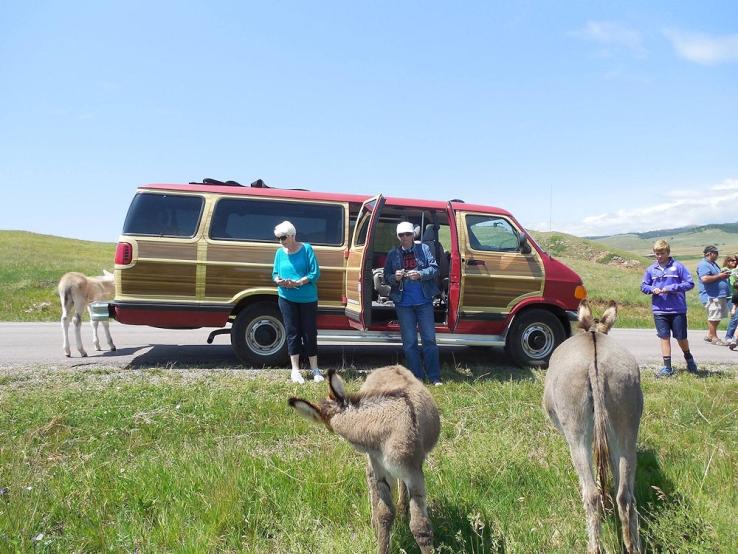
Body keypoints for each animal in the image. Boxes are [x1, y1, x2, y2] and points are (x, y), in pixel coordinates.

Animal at [288, 362, 436, 552]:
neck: (387, 428)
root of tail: (391, 365)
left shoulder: (413, 473)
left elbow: (420, 527)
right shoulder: (380, 469)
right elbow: (384, 514)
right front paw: (381, 541)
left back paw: (402, 510)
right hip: (373, 462)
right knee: (371, 479)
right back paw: (376, 524)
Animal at [544, 300, 640, 548]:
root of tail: (595, 363)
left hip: (577, 433)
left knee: (592, 494)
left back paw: (594, 546)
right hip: (627, 425)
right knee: (625, 496)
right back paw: (633, 546)